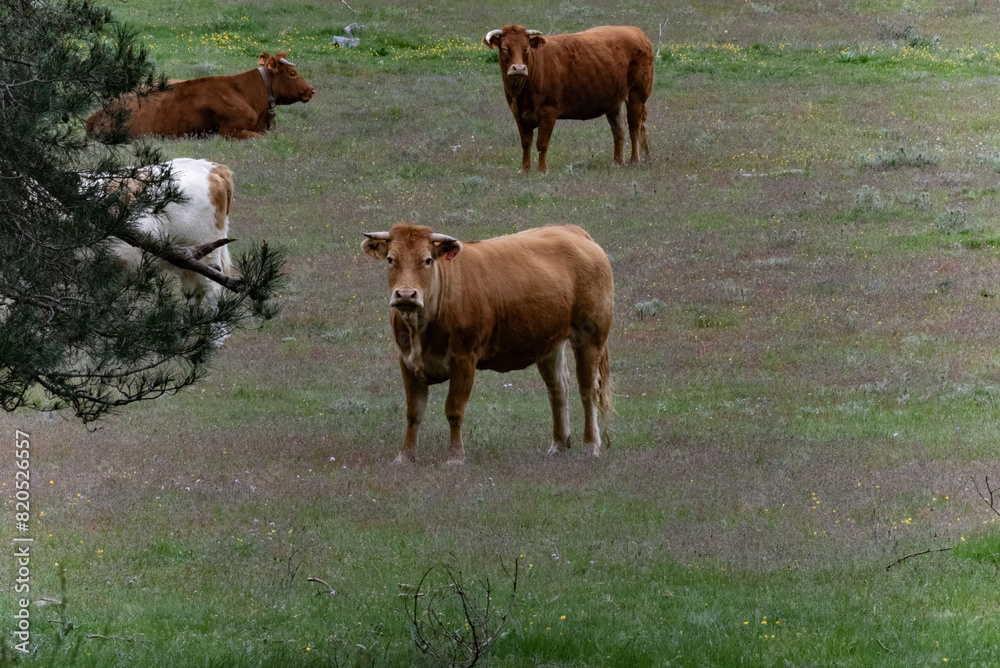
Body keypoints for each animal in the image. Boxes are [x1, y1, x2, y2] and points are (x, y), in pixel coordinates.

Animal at [364, 224, 612, 464]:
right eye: (391, 259)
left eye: (427, 260)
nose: (406, 294)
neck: (421, 327)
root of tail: (572, 230)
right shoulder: (407, 361)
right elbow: (414, 412)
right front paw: (404, 457)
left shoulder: (464, 359)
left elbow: (454, 409)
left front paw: (455, 457)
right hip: (550, 342)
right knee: (558, 388)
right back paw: (559, 445)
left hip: (589, 336)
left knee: (588, 389)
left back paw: (590, 446)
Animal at [484, 24, 656, 174]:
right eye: (505, 48)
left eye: (526, 48)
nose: (519, 68)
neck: (522, 94)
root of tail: (636, 32)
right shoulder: (519, 114)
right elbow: (526, 144)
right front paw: (524, 170)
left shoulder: (548, 112)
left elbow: (542, 144)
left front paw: (542, 170)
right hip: (614, 100)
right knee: (618, 129)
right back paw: (616, 163)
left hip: (637, 94)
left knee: (634, 127)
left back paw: (634, 161)